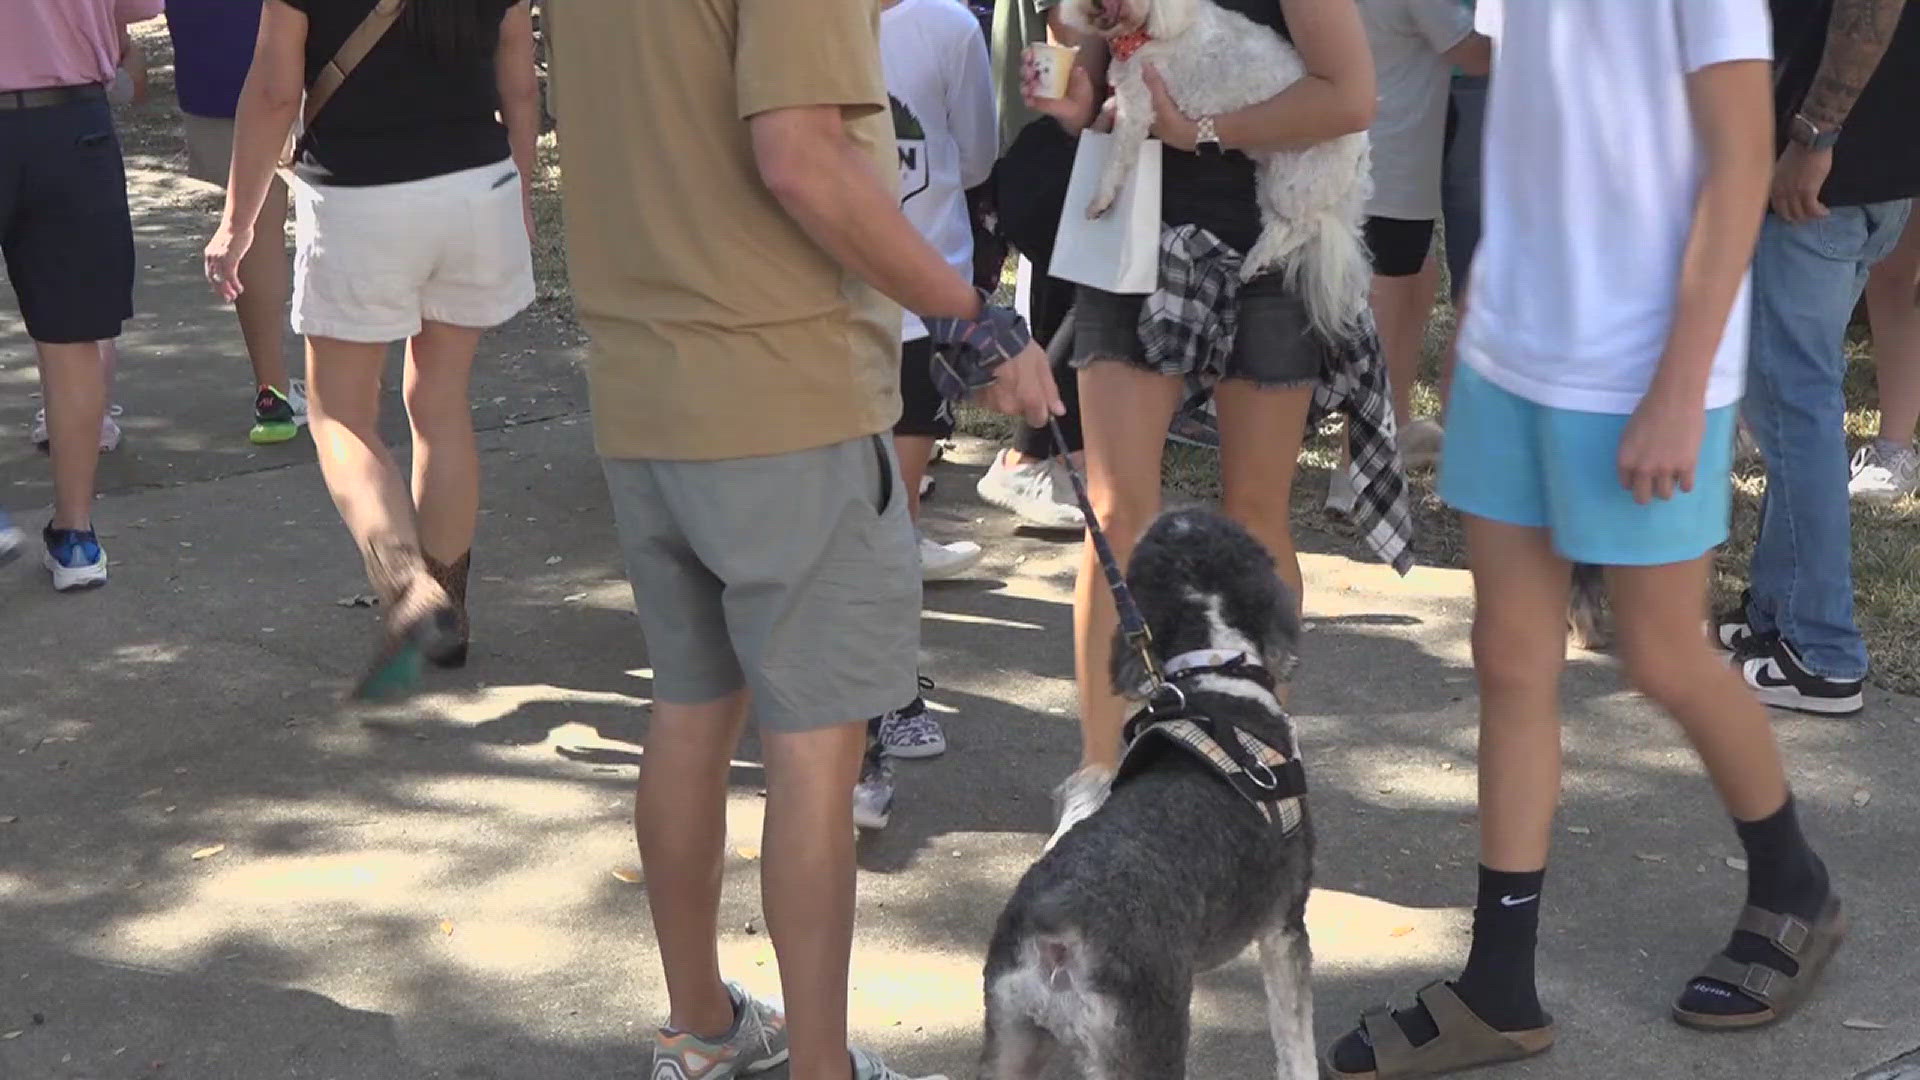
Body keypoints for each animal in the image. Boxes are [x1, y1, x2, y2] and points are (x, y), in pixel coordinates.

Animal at [983, 507, 1313, 1068]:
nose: (1177, 510)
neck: (1215, 667)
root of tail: (1055, 933)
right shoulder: (1285, 926)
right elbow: (1296, 1045)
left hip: (1012, 1037)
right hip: (1145, 1039)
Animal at [1059, 0, 1374, 340]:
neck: (1141, 35)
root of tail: (1360, 151)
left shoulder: (1138, 107)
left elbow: (1115, 160)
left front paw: (1099, 200)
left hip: (1297, 184)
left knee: (1309, 225)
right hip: (1270, 178)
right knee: (1280, 225)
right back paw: (1257, 260)